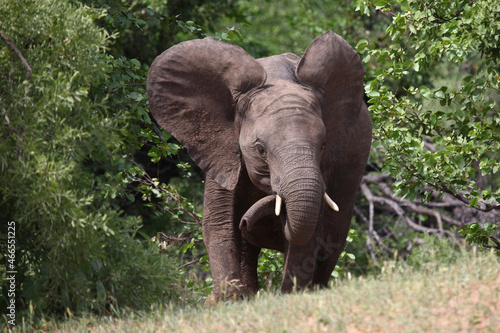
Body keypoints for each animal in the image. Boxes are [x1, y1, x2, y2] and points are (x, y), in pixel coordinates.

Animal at [146, 29, 374, 302]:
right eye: (260, 149)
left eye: (323, 145)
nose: (247, 222)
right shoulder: (224, 154)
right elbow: (219, 225)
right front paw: (227, 300)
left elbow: (308, 238)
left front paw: (289, 296)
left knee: (330, 244)